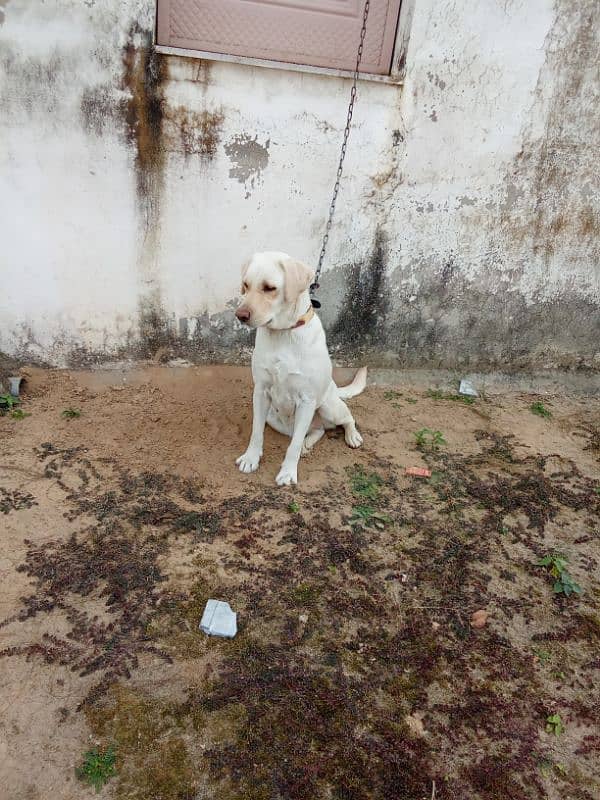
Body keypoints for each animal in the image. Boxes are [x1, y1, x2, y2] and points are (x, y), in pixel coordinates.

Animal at [234, 253, 366, 484]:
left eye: (269, 288)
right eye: (246, 285)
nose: (240, 315)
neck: (283, 333)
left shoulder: (307, 399)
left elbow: (292, 446)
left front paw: (287, 472)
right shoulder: (260, 392)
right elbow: (256, 432)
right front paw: (251, 458)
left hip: (328, 406)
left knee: (345, 419)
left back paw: (352, 435)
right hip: (274, 417)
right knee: (316, 431)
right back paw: (308, 443)